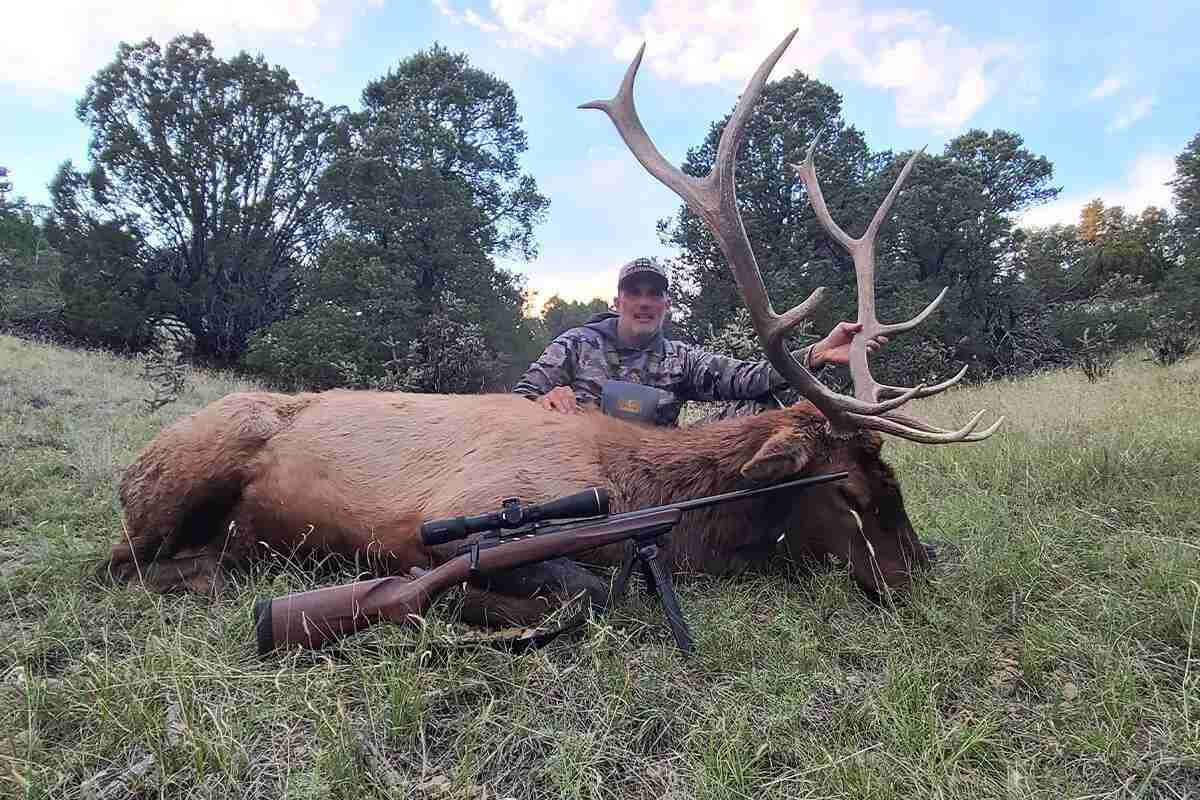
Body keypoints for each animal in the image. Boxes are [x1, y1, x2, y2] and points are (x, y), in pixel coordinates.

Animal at [103, 30, 1002, 631]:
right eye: (849, 489)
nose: (919, 570)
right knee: (122, 563)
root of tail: (135, 466)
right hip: (185, 471)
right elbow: (584, 591)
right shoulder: (447, 521)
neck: (644, 493)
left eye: (896, 480)